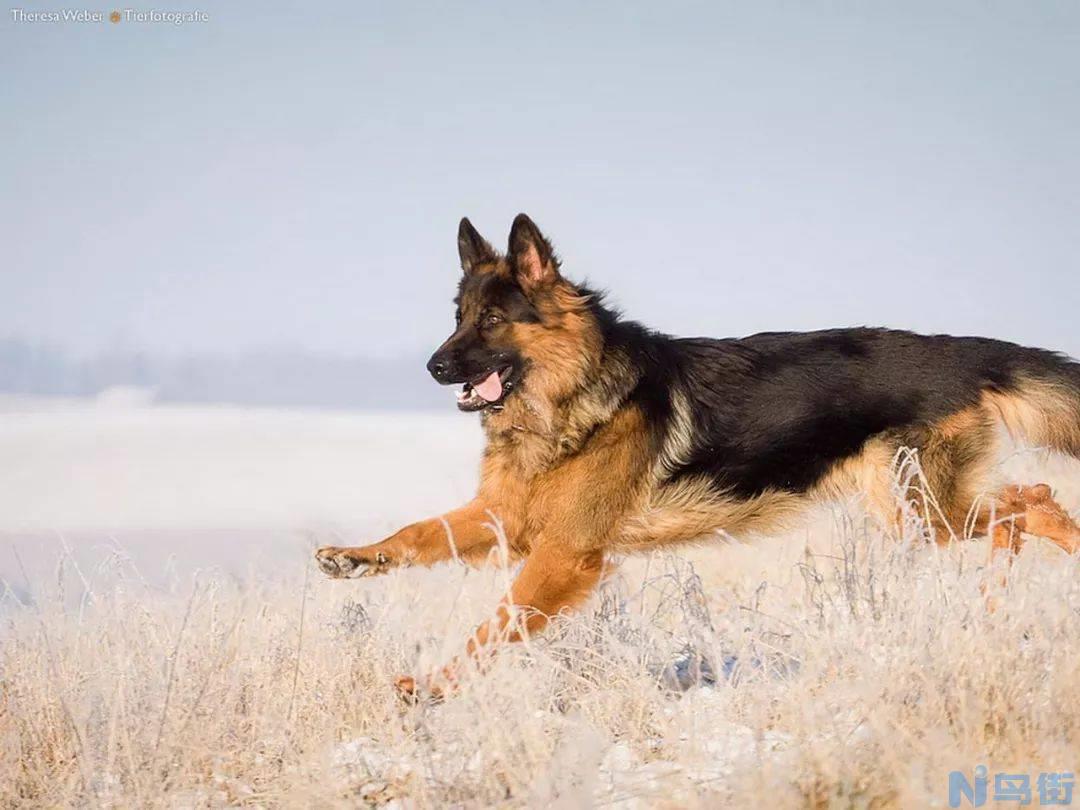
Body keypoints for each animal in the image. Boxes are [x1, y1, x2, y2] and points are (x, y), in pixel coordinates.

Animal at [315, 216, 1080, 699]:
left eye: (493, 320)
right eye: (457, 316)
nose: (434, 367)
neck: (575, 394)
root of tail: (963, 351)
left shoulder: (564, 553)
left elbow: (496, 624)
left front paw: (431, 688)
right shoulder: (506, 517)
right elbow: (420, 533)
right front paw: (355, 559)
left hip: (923, 511)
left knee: (1035, 501)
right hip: (922, 513)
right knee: (1020, 509)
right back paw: (995, 595)